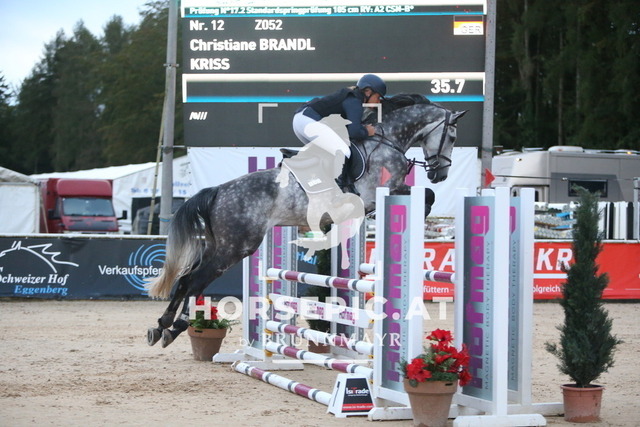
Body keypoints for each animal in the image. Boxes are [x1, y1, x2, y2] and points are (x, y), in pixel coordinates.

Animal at [146, 94, 466, 348]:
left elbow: (426, 195)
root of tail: (218, 191)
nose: (440, 173)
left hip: (219, 245)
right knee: (195, 282)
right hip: (236, 247)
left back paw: (162, 327)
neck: (387, 141)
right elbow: (427, 196)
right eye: (451, 137)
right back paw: (174, 327)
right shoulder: (380, 192)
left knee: (186, 280)